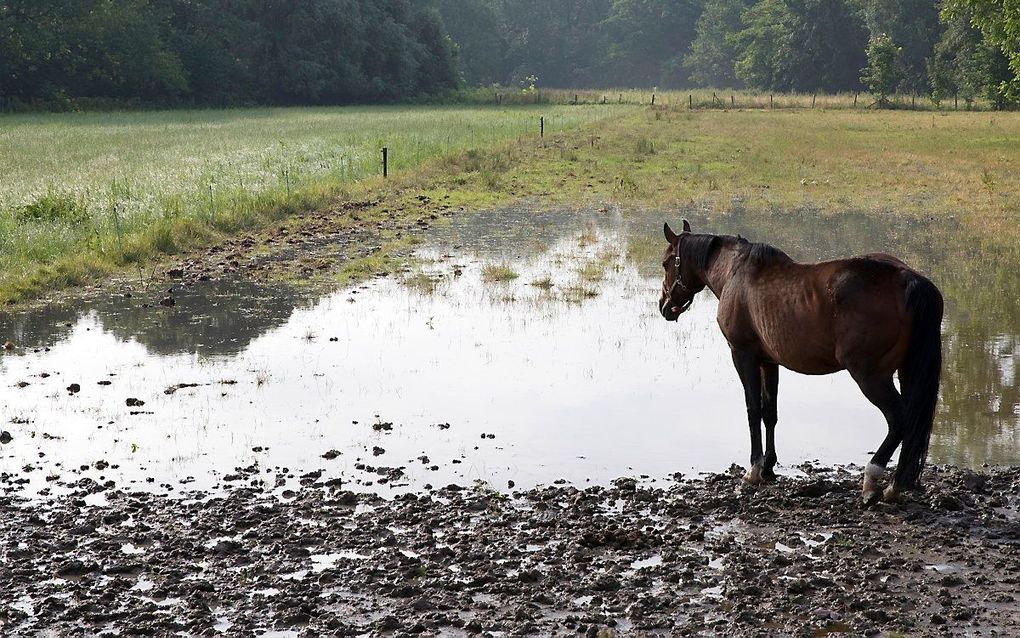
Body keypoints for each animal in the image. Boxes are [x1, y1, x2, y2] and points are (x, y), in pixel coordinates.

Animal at [660, 218, 938, 502]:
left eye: (666, 263)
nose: (664, 306)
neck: (734, 272)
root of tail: (906, 277)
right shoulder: (768, 362)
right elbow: (769, 412)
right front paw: (769, 467)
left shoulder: (743, 354)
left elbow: (753, 410)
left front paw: (753, 471)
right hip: (905, 371)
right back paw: (896, 483)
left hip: (870, 376)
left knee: (899, 419)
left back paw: (873, 481)